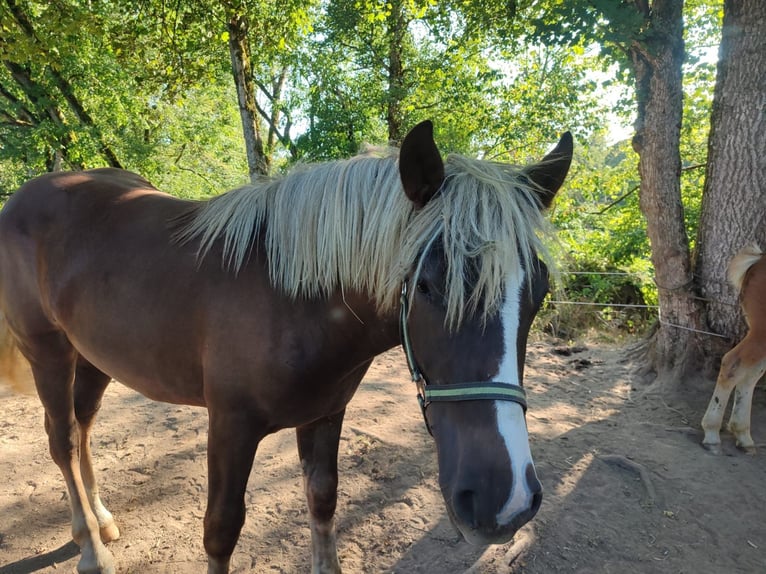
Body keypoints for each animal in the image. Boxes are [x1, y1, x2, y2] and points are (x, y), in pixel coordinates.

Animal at [0, 119, 572, 572]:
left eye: (539, 290)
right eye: (428, 285)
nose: (504, 503)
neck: (290, 298)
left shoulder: (324, 415)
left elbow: (322, 502)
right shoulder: (230, 427)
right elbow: (220, 531)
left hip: (94, 357)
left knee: (83, 424)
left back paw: (102, 519)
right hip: (47, 350)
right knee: (62, 439)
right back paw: (91, 549)